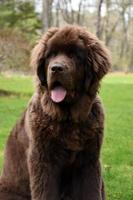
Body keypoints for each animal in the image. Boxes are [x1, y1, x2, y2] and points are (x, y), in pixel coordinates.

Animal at [0, 25, 110, 200]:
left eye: (74, 55)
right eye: (50, 55)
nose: (56, 68)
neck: (69, 118)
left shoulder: (89, 161)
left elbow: (90, 190)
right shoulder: (43, 161)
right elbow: (45, 192)